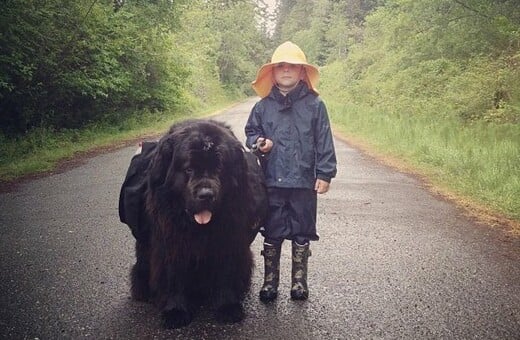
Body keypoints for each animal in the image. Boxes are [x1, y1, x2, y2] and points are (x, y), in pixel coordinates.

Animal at [119, 118, 268, 328]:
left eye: (219, 168)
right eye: (188, 169)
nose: (206, 195)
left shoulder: (228, 238)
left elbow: (226, 272)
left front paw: (227, 307)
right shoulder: (172, 241)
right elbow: (174, 276)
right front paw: (175, 311)